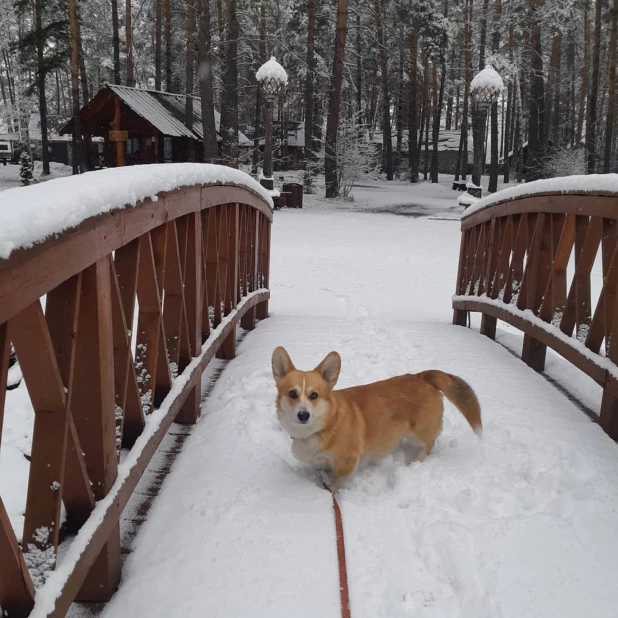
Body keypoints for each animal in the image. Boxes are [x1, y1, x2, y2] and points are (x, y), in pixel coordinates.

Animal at [270, 346, 482, 486]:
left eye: (314, 395)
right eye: (292, 394)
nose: (303, 415)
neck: (323, 426)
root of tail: (422, 376)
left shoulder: (345, 463)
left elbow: (337, 484)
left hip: (419, 433)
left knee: (428, 445)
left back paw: (415, 461)